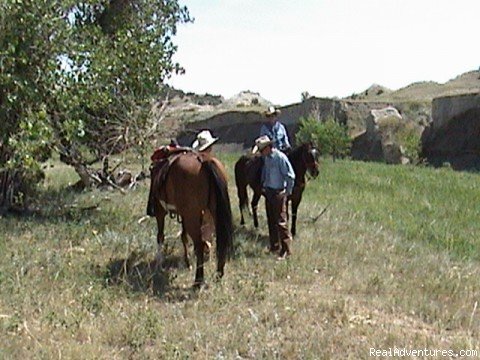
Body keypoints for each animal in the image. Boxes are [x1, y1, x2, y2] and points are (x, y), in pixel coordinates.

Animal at [149, 150, 233, 286]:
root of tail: (203, 160)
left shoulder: (160, 212)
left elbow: (160, 236)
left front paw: (159, 265)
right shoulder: (184, 214)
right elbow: (184, 236)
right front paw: (187, 263)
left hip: (191, 217)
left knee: (199, 245)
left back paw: (198, 280)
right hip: (213, 213)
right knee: (220, 241)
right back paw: (218, 275)